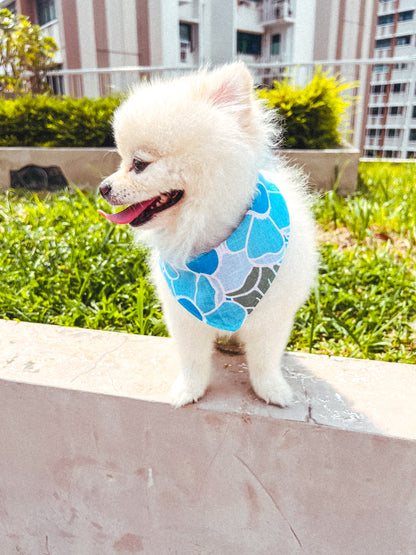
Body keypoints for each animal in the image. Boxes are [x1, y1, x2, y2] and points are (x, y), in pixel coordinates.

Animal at [99, 63, 316, 408]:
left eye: (139, 164)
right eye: (121, 160)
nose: (102, 188)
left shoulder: (272, 317)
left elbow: (265, 360)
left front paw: (272, 390)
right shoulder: (184, 317)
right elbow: (193, 360)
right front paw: (189, 390)